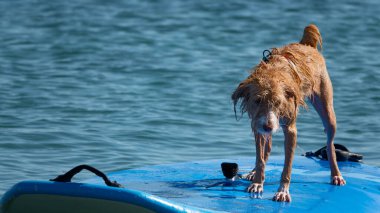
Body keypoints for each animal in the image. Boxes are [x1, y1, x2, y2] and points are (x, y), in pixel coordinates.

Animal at [233, 24, 346, 202]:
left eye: (278, 102)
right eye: (257, 100)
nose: (268, 126)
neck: (272, 75)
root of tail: (306, 45)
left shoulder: (291, 131)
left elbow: (287, 166)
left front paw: (282, 191)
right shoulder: (258, 125)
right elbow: (260, 158)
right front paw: (258, 182)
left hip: (328, 112)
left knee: (330, 145)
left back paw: (336, 174)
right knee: (267, 149)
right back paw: (254, 172)